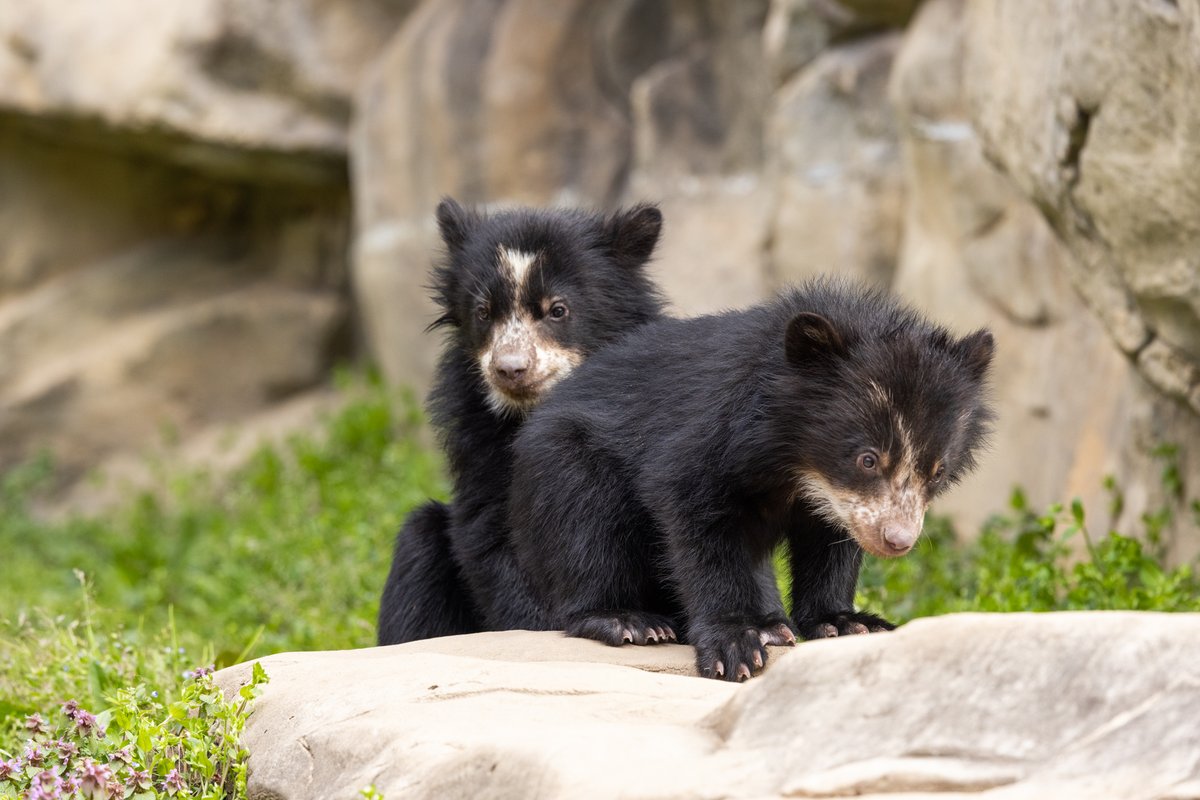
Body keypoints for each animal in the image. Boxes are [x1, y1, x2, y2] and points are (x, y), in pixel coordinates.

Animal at [377, 198, 667, 645]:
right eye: (483, 312)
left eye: (557, 310)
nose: (510, 369)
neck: (529, 412)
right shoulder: (478, 431)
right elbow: (491, 525)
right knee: (418, 548)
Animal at [507, 279, 995, 680]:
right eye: (868, 459)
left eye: (937, 470)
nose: (897, 541)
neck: (797, 464)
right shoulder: (715, 432)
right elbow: (691, 512)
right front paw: (734, 646)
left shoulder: (838, 504)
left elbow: (833, 542)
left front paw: (848, 621)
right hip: (563, 464)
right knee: (586, 525)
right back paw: (628, 620)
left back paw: (771, 624)